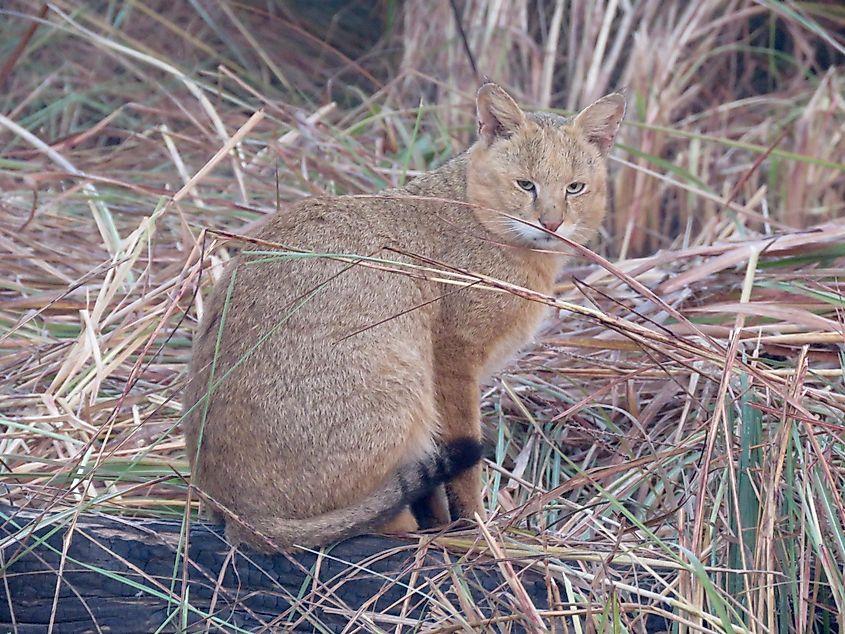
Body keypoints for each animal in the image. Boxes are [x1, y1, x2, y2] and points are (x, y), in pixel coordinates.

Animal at [183, 84, 620, 548]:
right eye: (525, 185)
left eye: (575, 188)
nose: (551, 223)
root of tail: (239, 514)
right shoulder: (453, 359)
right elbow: (464, 467)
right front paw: (477, 527)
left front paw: (448, 521)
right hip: (401, 384)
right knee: (373, 518)